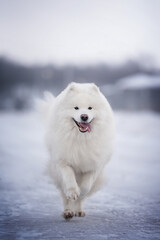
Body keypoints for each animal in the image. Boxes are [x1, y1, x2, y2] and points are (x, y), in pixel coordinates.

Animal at [37, 82, 115, 219]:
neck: (81, 139)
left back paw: (79, 211)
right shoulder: (63, 161)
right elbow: (69, 179)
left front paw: (80, 193)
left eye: (90, 108)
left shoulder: (94, 166)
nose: (84, 116)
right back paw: (68, 212)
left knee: (81, 198)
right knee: (65, 197)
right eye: (76, 108)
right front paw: (73, 192)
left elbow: (86, 186)